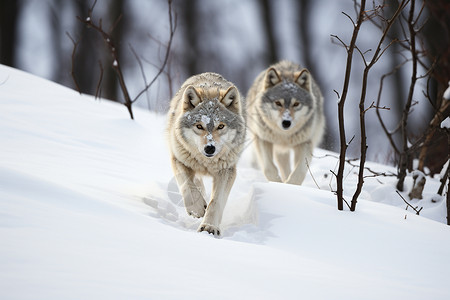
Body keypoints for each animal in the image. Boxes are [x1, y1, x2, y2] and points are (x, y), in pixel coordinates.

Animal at [166, 72, 246, 237]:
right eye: (199, 126)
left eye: (220, 126)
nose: (210, 148)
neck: (206, 163)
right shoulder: (178, 160)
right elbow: (187, 185)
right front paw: (196, 209)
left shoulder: (226, 171)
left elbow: (216, 202)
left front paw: (209, 227)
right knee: (196, 182)